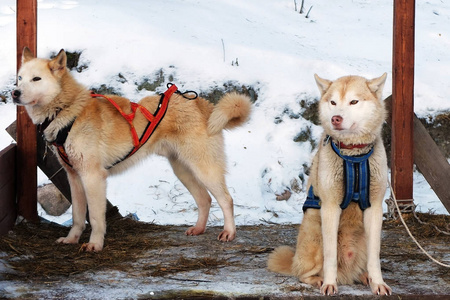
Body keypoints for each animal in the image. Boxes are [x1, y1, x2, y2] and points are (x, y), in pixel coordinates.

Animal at [13, 48, 253, 252]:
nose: (14, 93)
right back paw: (199, 229)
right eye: (20, 78)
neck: (68, 110)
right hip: (183, 170)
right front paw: (72, 239)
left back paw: (229, 232)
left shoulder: (93, 177)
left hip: (204, 168)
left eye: (36, 79)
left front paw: (95, 244)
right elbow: (78, 216)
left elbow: (96, 218)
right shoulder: (74, 177)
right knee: (204, 199)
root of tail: (203, 104)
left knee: (226, 199)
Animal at [268, 73, 392, 296]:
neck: (354, 157)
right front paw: (329, 284)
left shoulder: (375, 208)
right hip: (315, 235)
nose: (336, 118)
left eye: (354, 101)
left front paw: (377, 283)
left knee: (357, 269)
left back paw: (364, 277)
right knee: (303, 273)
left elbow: (374, 257)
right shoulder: (330, 208)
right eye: (333, 102)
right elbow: (331, 256)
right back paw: (318, 279)